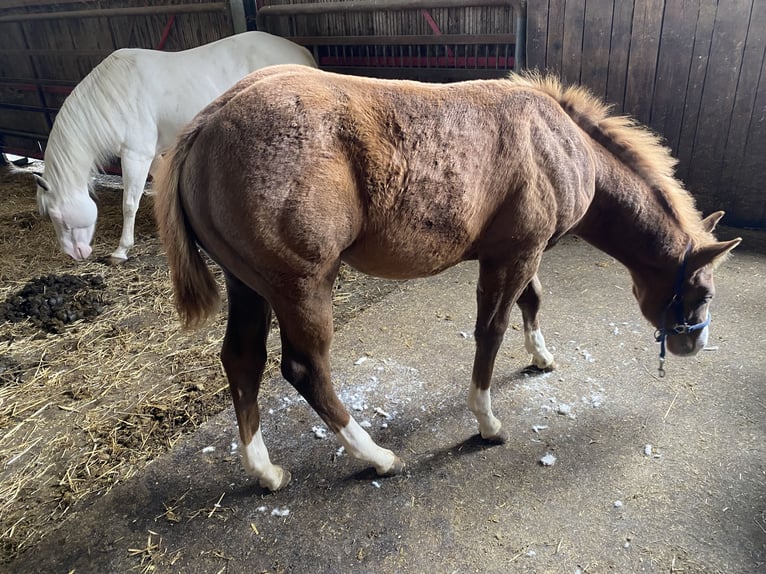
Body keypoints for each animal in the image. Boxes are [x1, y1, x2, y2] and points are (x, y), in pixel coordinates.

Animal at [35, 31, 318, 264]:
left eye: (57, 216)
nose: (74, 254)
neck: (111, 96)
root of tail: (300, 51)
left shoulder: (136, 155)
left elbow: (129, 203)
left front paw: (121, 251)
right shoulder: (150, 156)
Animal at [154, 65, 736, 492]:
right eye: (703, 291)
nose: (693, 345)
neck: (556, 142)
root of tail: (205, 124)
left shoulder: (518, 254)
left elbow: (533, 301)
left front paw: (541, 357)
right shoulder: (514, 255)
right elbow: (491, 331)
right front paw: (487, 422)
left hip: (248, 284)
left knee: (242, 359)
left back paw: (266, 472)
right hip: (301, 285)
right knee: (304, 368)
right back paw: (377, 457)